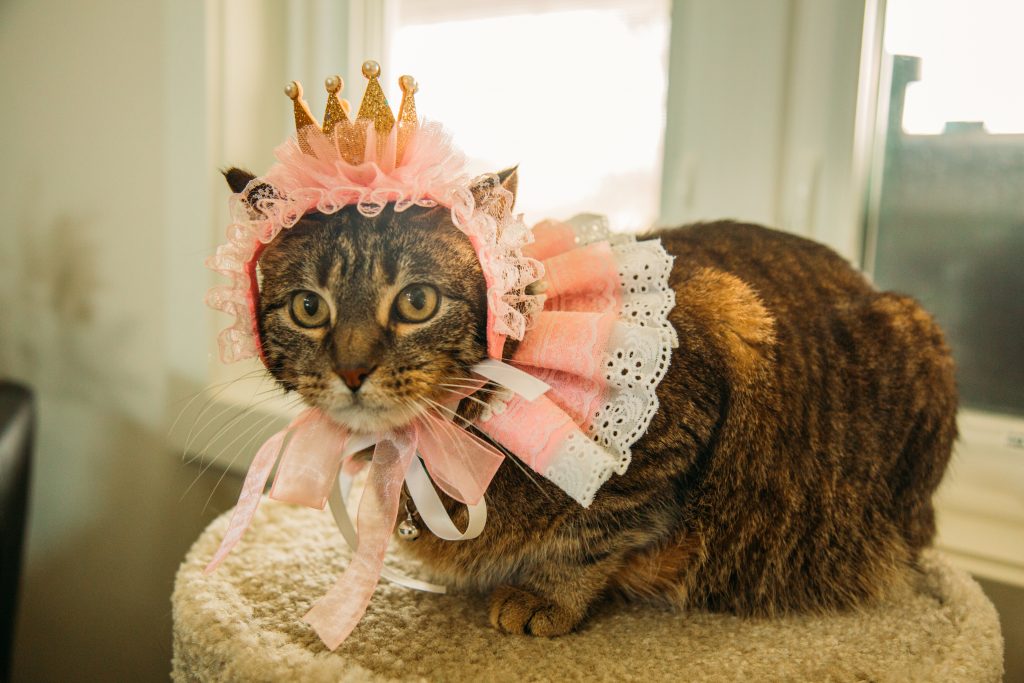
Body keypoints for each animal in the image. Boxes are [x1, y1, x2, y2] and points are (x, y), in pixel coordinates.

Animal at [226, 163, 958, 634]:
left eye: (416, 301)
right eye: (308, 308)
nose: (352, 369)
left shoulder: (702, 373)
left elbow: (594, 528)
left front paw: (547, 594)